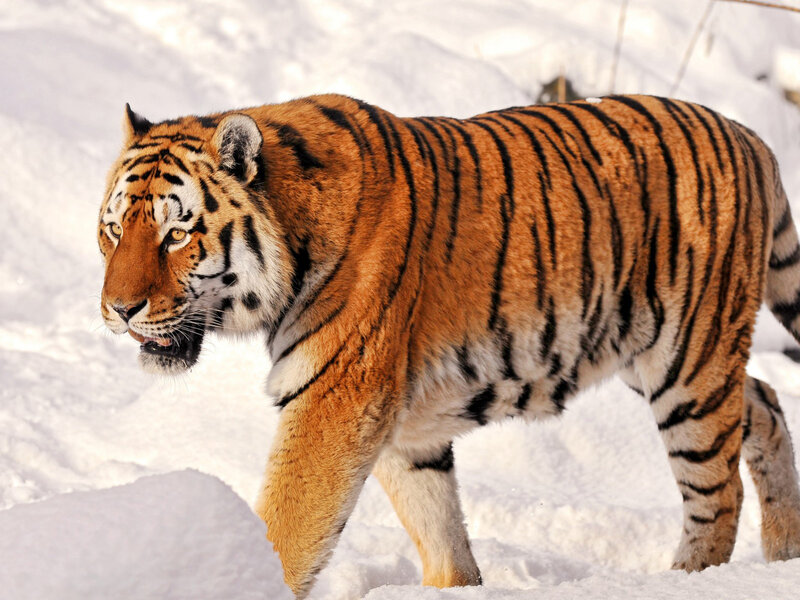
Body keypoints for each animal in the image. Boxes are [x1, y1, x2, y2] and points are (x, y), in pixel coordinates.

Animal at [98, 94, 800, 597]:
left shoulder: (336, 399)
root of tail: (752, 137)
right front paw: (455, 586)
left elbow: (288, 525)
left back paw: (694, 580)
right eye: (113, 231)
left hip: (687, 362)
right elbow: (439, 525)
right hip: (663, 353)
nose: (119, 310)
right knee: (765, 400)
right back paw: (784, 551)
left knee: (718, 494)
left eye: (175, 234)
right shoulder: (397, 420)